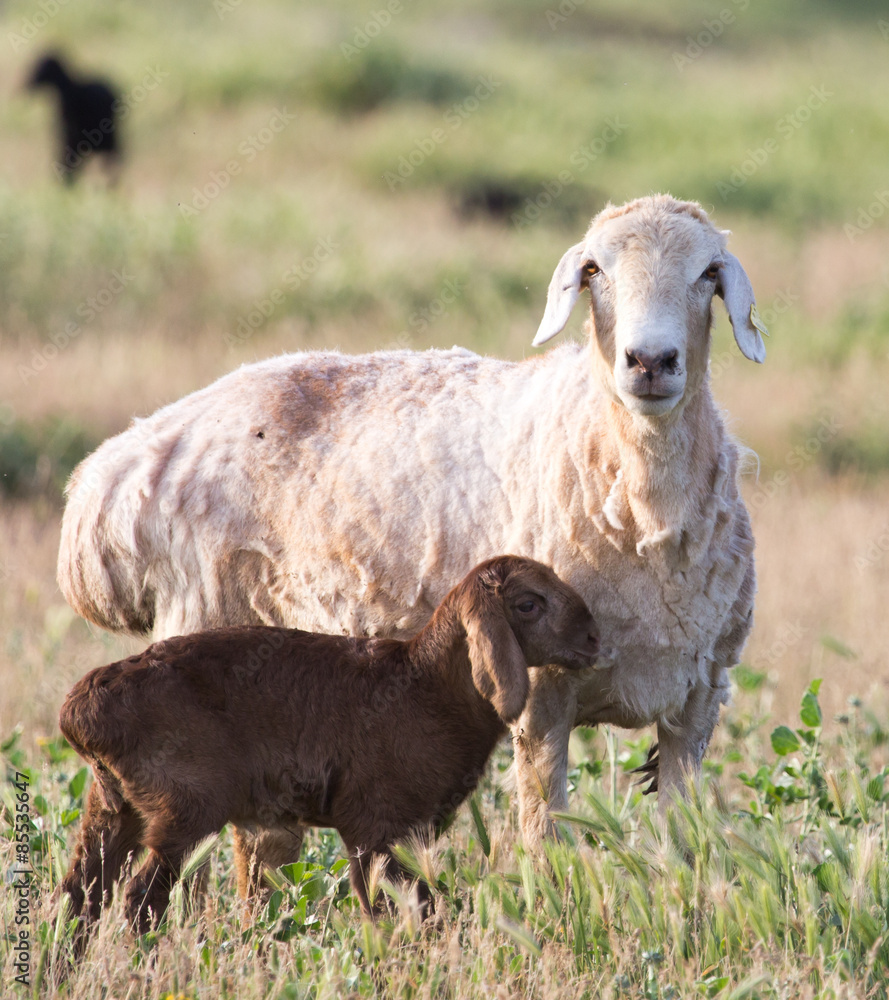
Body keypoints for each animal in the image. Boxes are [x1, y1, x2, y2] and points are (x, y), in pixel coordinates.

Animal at [57, 194, 765, 885]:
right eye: (594, 271)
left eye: (709, 273)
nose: (650, 362)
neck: (642, 508)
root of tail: (120, 468)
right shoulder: (540, 697)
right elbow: (545, 839)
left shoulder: (698, 702)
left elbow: (685, 842)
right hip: (202, 633)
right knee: (242, 852)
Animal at [58, 556, 599, 933]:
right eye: (528, 604)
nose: (595, 639)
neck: (428, 688)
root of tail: (79, 711)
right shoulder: (373, 824)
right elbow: (396, 908)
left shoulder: (398, 833)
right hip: (184, 808)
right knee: (139, 899)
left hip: (116, 806)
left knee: (80, 895)